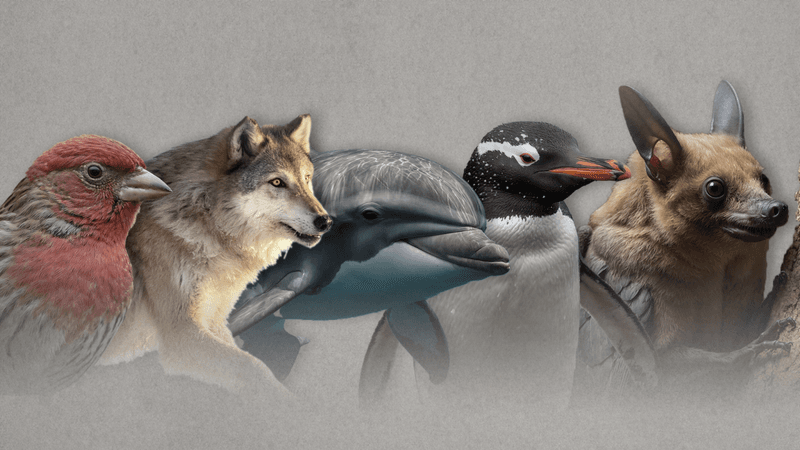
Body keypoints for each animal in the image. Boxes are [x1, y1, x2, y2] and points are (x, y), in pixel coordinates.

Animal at [99, 115, 331, 396]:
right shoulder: (182, 335)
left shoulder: (214, 323)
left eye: (307, 178)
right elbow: (254, 367)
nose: (325, 221)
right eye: (277, 182)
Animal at [576, 81, 793, 398]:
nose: (776, 208)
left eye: (763, 179)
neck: (715, 272)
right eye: (714, 188)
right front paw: (758, 345)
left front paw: (777, 289)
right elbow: (694, 359)